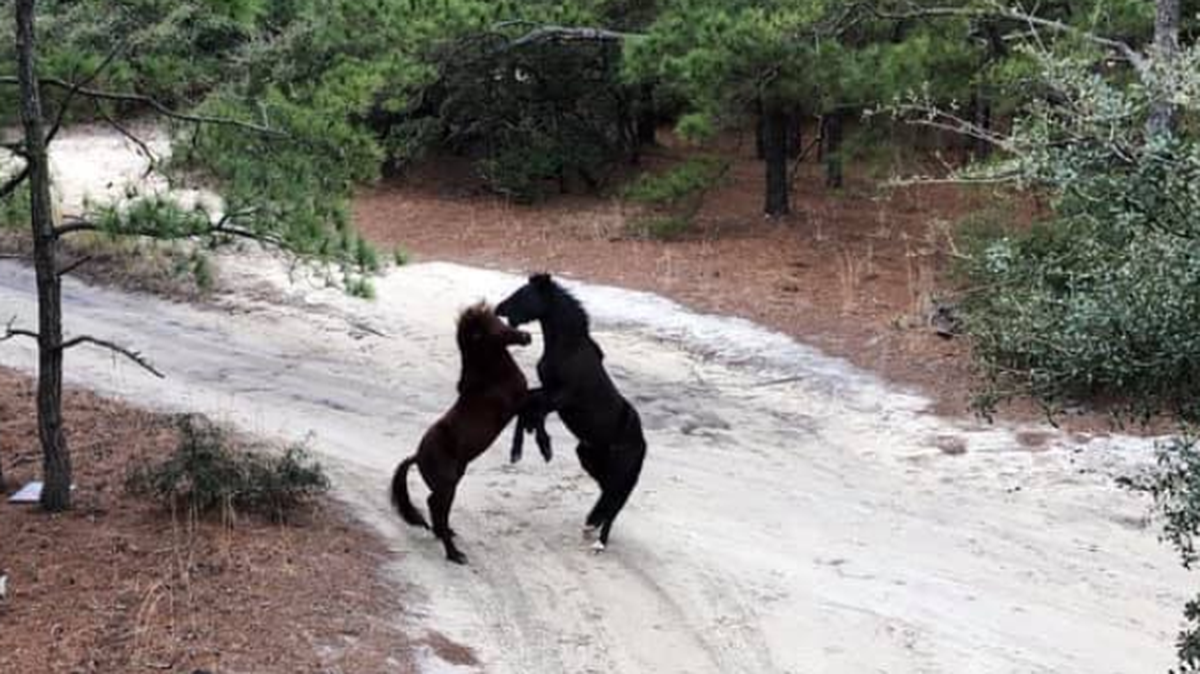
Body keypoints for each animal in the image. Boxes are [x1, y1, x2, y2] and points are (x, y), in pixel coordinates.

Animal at [390, 302, 547, 564]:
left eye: (501, 321)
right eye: (495, 330)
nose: (527, 336)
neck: (491, 378)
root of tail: (417, 456)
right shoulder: (518, 402)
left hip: (452, 482)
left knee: (438, 509)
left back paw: (446, 535)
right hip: (447, 484)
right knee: (435, 505)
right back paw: (454, 553)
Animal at [496, 273, 647, 551]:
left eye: (524, 294)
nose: (498, 309)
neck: (568, 348)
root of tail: (642, 443)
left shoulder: (560, 397)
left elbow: (533, 411)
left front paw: (543, 447)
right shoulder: (547, 391)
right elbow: (526, 406)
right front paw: (522, 450)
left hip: (620, 473)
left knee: (615, 503)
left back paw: (599, 543)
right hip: (588, 456)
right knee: (607, 496)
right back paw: (591, 525)